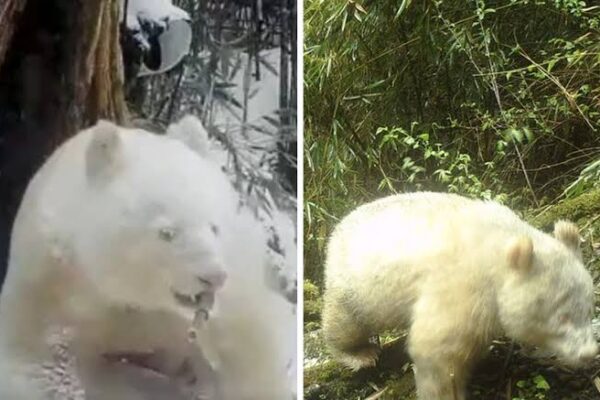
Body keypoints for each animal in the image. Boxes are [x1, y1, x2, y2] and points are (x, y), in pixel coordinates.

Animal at [0, 116, 292, 400]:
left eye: (214, 227)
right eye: (167, 232)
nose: (213, 277)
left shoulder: (229, 299)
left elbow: (248, 352)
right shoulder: (48, 280)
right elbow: (33, 360)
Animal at [324, 191, 600, 400]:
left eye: (589, 310)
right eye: (563, 317)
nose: (589, 354)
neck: (498, 250)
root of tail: (339, 227)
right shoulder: (462, 285)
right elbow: (436, 349)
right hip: (355, 283)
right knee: (345, 322)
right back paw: (360, 353)